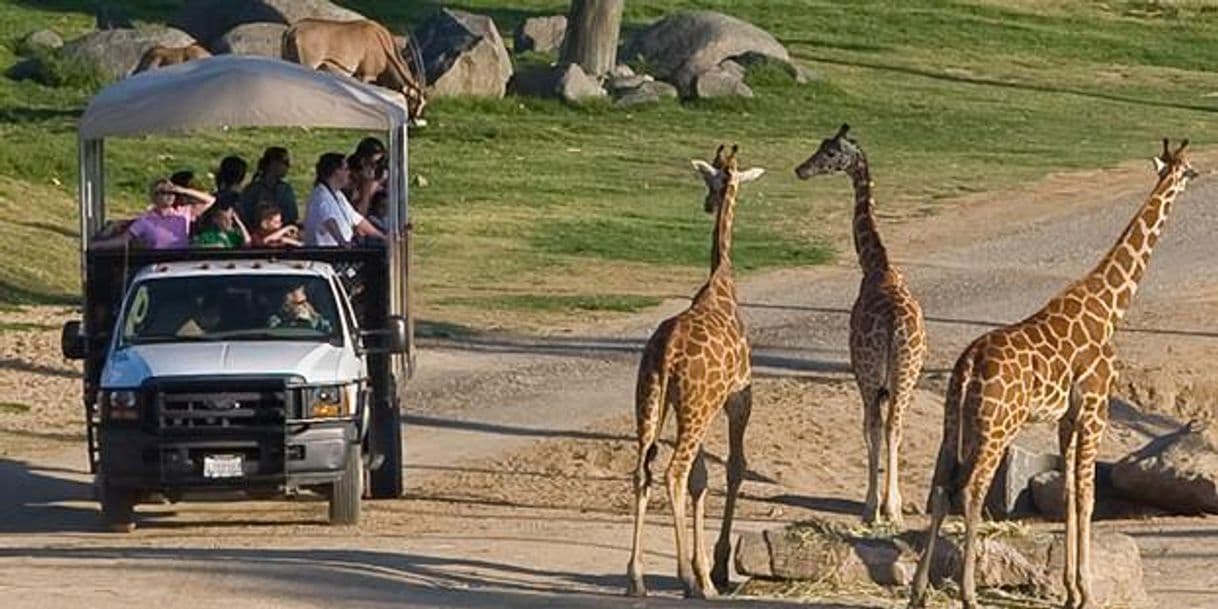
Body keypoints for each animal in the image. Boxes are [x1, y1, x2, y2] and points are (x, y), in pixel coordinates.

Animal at [623, 143, 764, 599]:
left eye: (711, 182)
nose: (706, 203)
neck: (722, 282)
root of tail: (666, 353)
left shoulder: (702, 406)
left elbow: (702, 480)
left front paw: (706, 569)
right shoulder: (738, 398)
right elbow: (734, 468)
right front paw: (713, 571)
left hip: (651, 400)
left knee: (644, 471)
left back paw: (636, 577)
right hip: (694, 408)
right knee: (674, 472)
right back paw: (685, 579)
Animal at [794, 121, 925, 526]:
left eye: (832, 152)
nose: (801, 169)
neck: (876, 265)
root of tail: (895, 325)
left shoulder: (861, 373)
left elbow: (869, 430)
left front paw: (875, 505)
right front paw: (887, 505)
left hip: (870, 374)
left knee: (878, 426)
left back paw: (876, 507)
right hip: (907, 373)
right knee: (896, 425)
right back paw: (892, 507)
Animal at [911, 139, 1203, 609]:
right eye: (1189, 168)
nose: (1200, 173)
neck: (1110, 307)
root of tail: (969, 363)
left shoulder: (1066, 417)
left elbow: (1067, 491)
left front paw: (1071, 590)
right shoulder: (1097, 408)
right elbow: (1086, 495)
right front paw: (1086, 591)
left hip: (953, 423)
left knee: (940, 487)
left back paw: (918, 591)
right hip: (998, 425)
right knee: (971, 490)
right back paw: (969, 593)